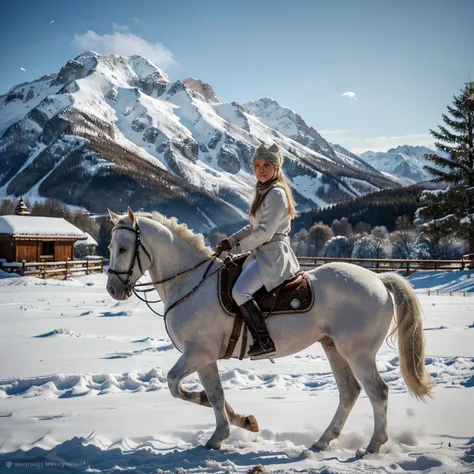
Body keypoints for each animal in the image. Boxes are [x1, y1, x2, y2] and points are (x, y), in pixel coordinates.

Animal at [105, 209, 432, 454]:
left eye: (123, 248)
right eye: (109, 248)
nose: (113, 289)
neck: (189, 282)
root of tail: (379, 279)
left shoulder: (197, 353)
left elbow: (176, 384)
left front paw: (216, 424)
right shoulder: (204, 358)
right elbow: (215, 394)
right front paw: (236, 424)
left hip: (357, 353)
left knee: (378, 392)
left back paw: (373, 445)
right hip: (333, 347)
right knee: (349, 391)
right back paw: (323, 440)